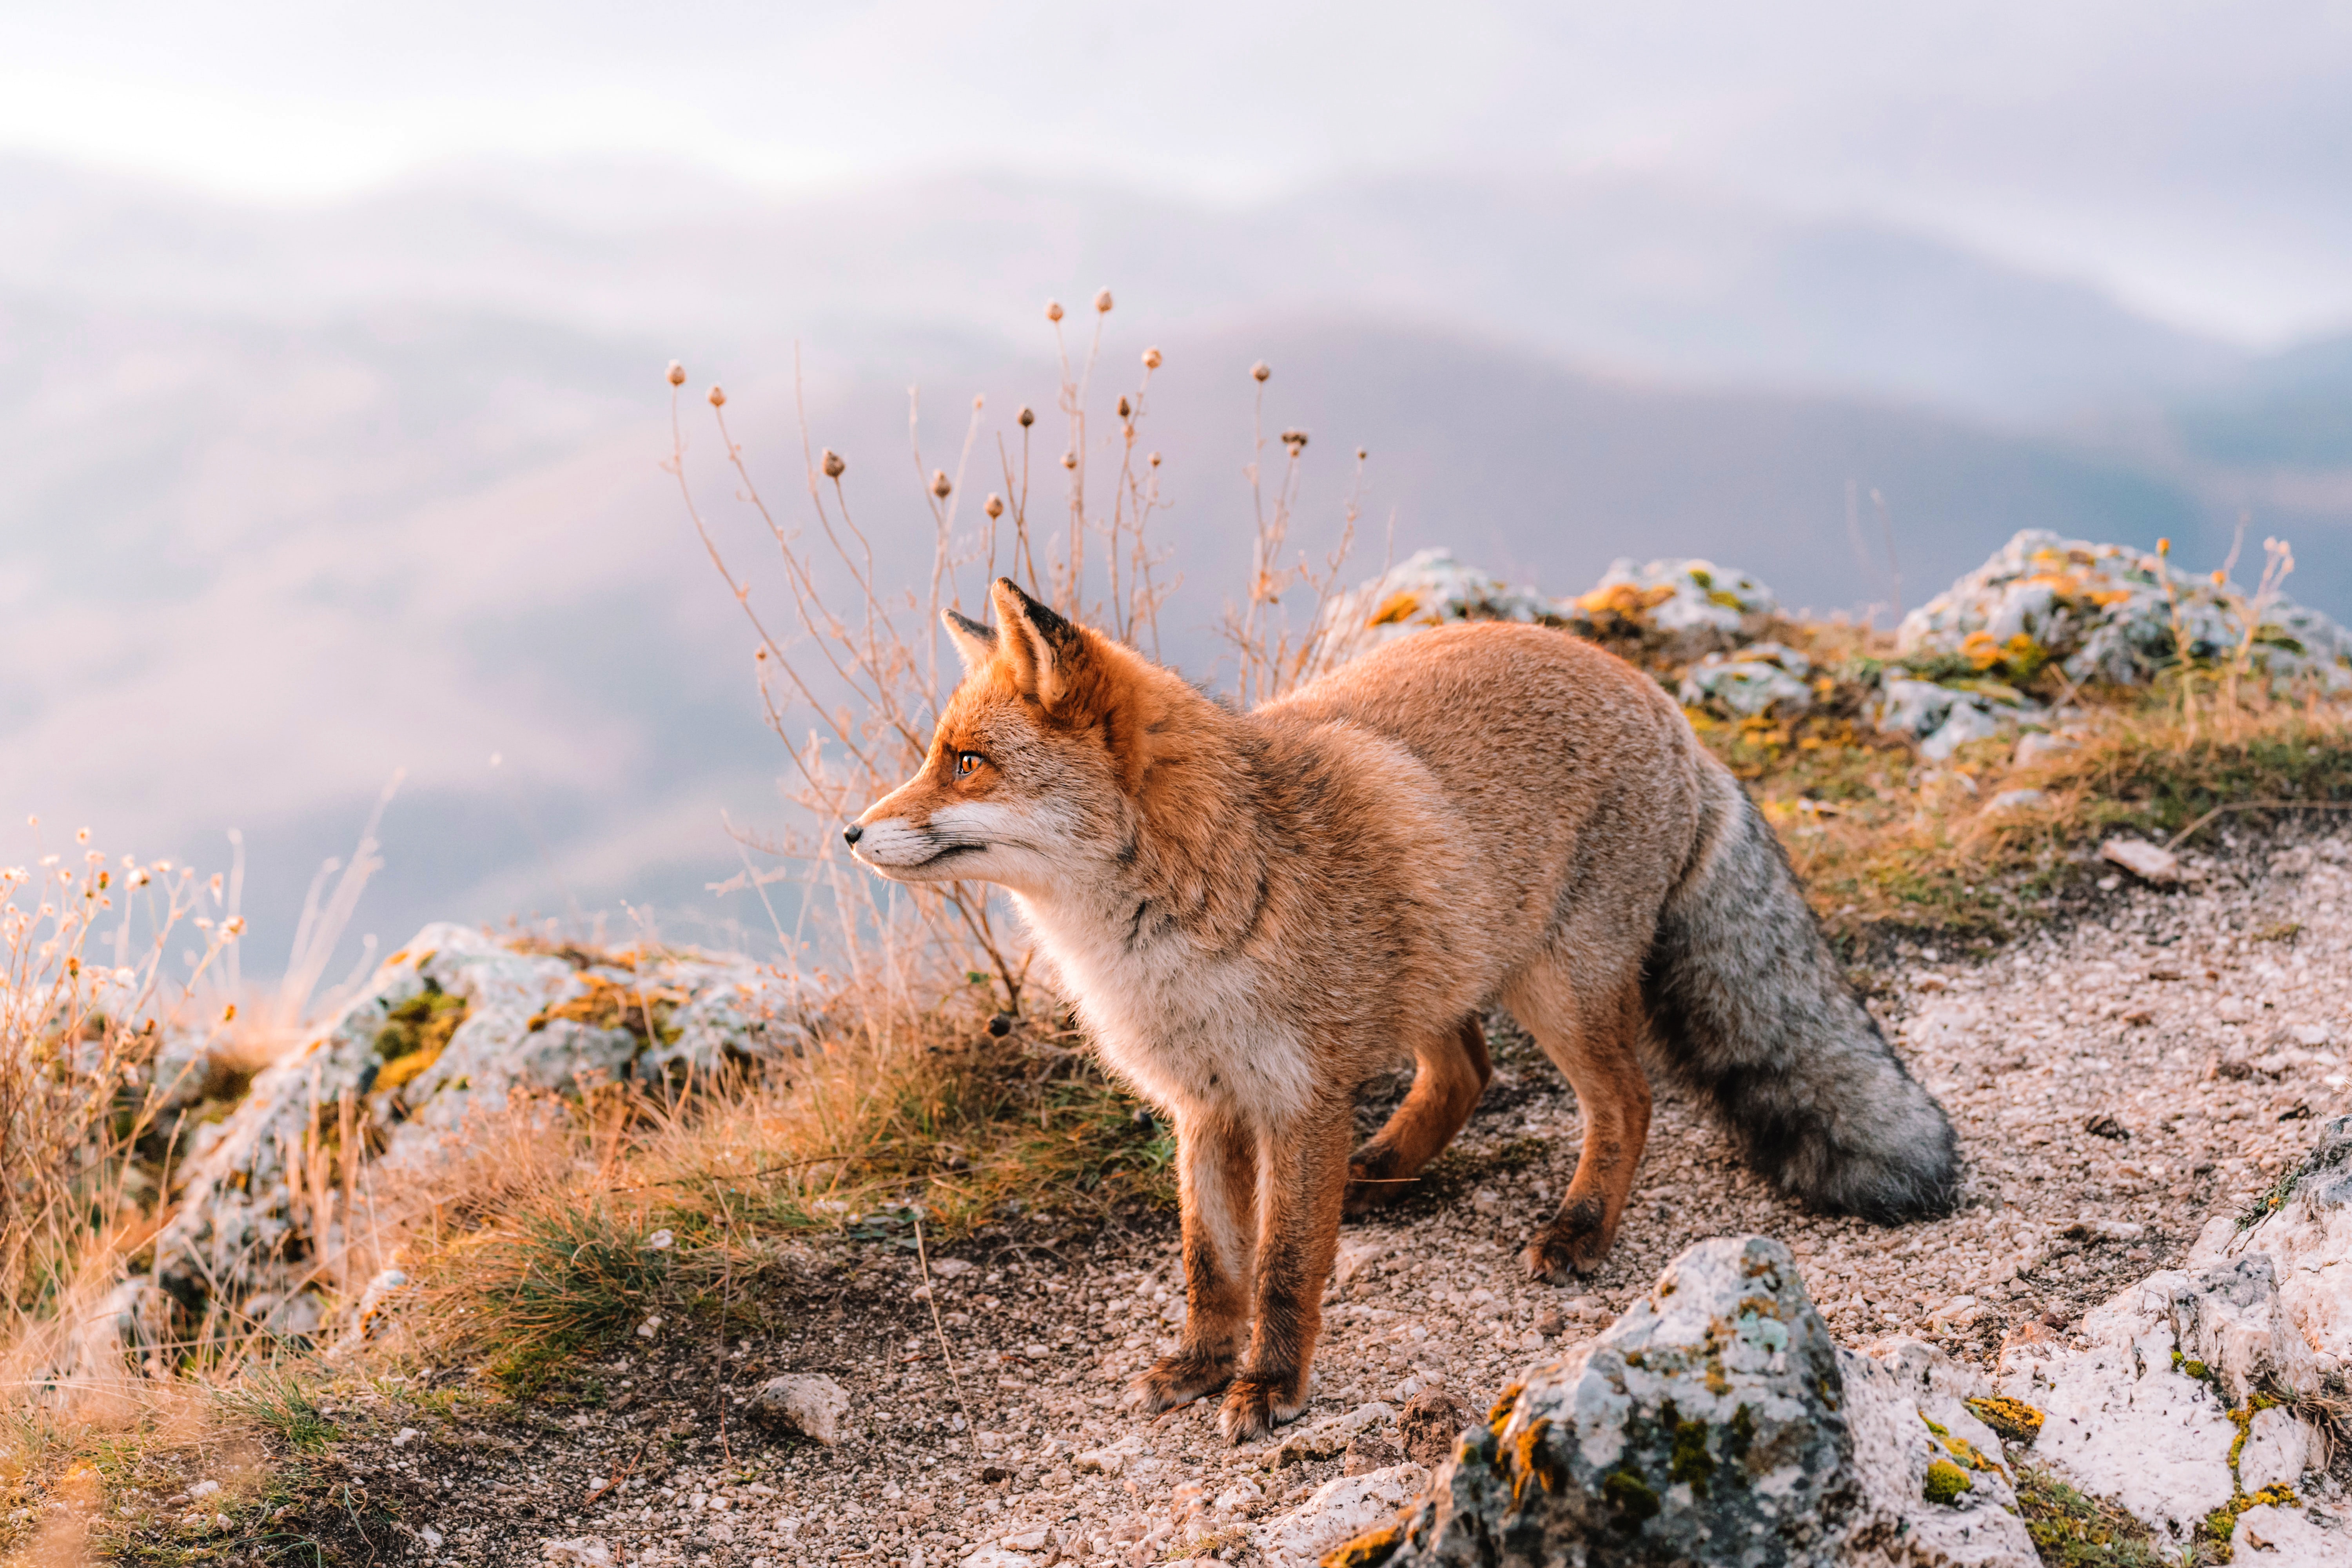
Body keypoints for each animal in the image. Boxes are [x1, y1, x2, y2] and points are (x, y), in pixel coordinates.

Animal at [847, 577, 1959, 1442]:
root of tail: (1663, 702)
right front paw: (1201, 1363)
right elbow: (1212, 1264)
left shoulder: (1296, 1101)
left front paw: (1268, 1385)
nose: (850, 834)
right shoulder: (1206, 1106)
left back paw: (1580, 1229)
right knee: (1469, 1068)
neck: (1165, 937)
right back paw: (1385, 1166)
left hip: (1554, 986)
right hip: (1446, 958)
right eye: (937, 755)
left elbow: (1284, 1266)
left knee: (1627, 1101)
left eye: (966, 762)